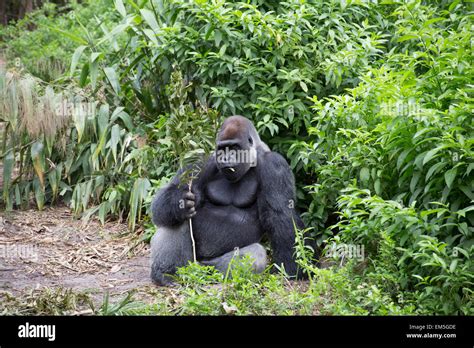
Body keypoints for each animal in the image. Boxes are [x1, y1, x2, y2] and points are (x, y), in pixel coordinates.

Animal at [150, 115, 304, 284]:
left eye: (234, 147)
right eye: (223, 149)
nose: (225, 157)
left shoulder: (275, 165)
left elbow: (280, 214)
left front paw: (292, 268)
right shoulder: (202, 160)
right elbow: (171, 192)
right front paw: (180, 203)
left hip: (205, 266)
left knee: (255, 254)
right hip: (189, 263)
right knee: (173, 220)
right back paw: (166, 273)